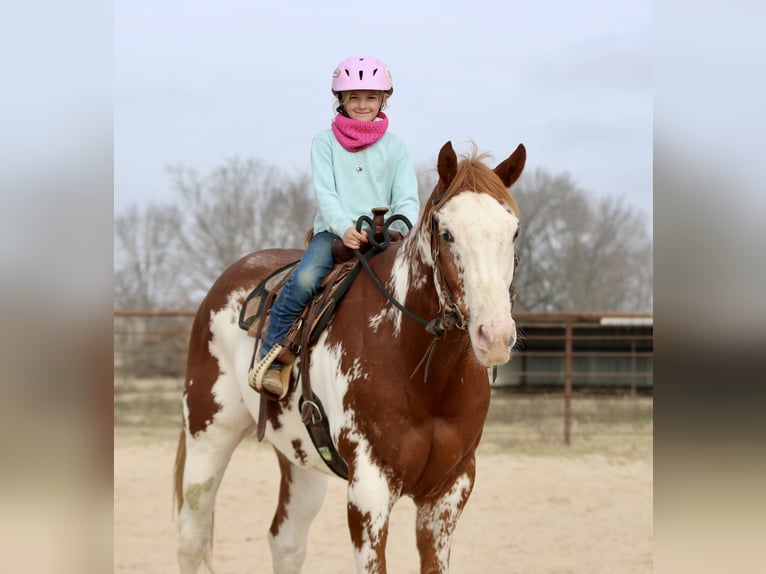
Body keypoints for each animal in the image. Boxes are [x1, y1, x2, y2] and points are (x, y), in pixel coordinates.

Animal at [173, 140, 526, 573]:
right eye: (447, 233)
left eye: (513, 231)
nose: (495, 335)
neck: (424, 373)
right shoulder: (369, 489)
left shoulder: (450, 489)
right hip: (207, 439)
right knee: (192, 537)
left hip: (300, 459)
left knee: (286, 541)